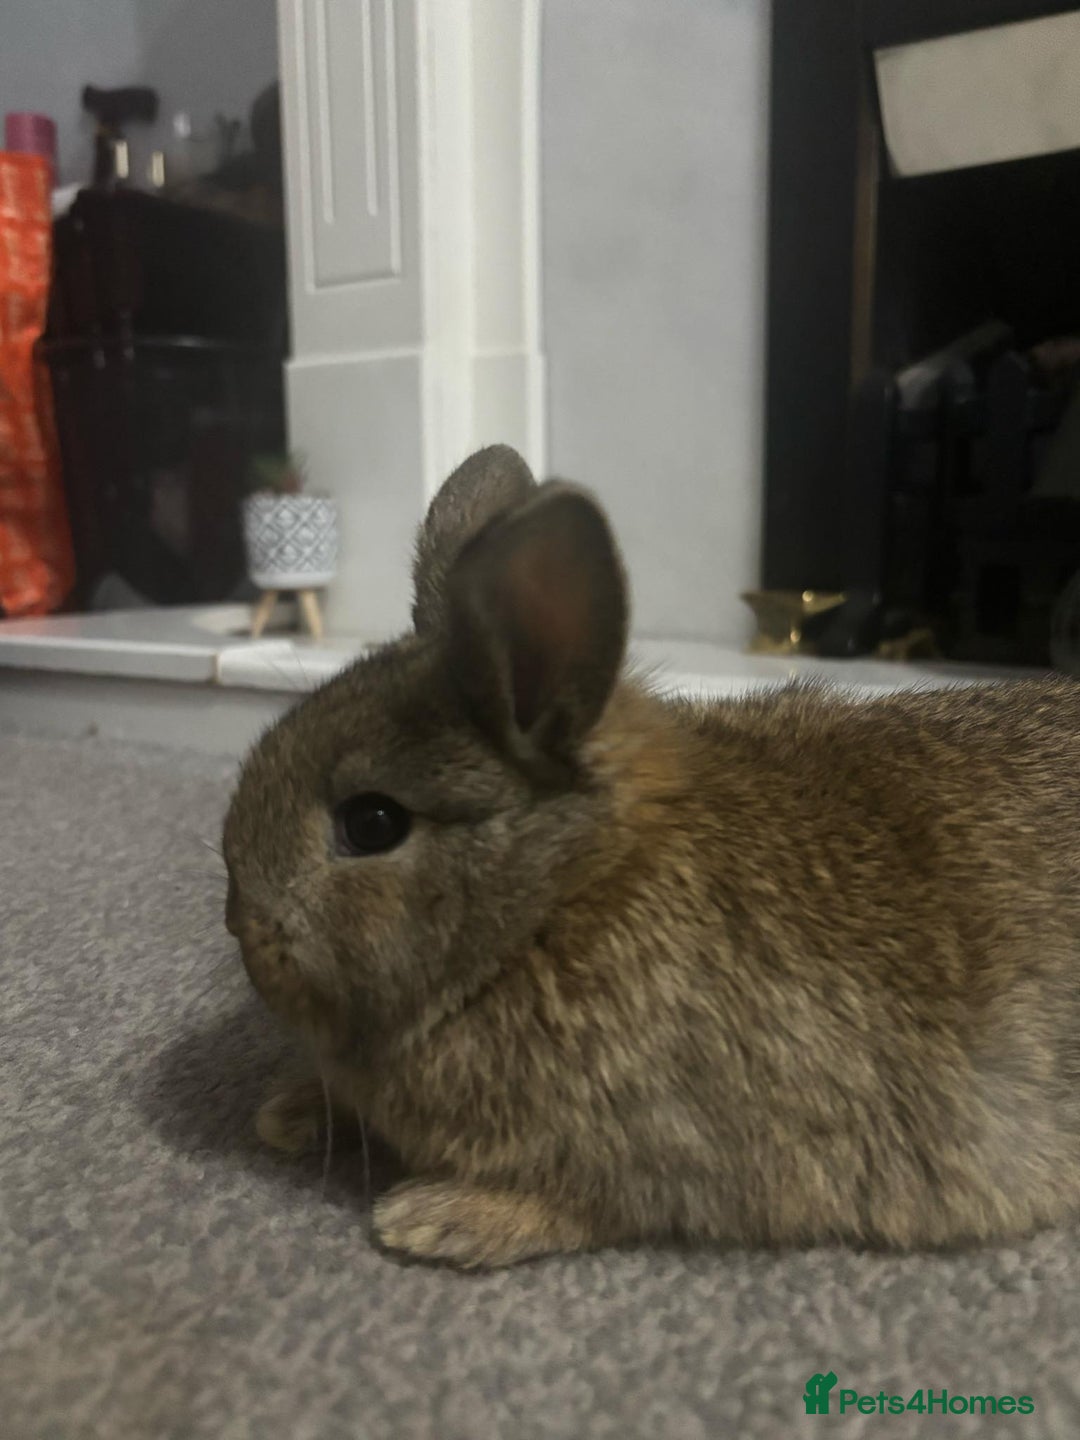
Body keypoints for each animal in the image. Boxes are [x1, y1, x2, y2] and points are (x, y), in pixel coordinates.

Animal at [223, 443, 1080, 1268]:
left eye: (371, 824)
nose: (241, 924)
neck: (562, 899)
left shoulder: (680, 1154)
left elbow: (591, 1206)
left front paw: (436, 1220)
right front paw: (287, 1111)